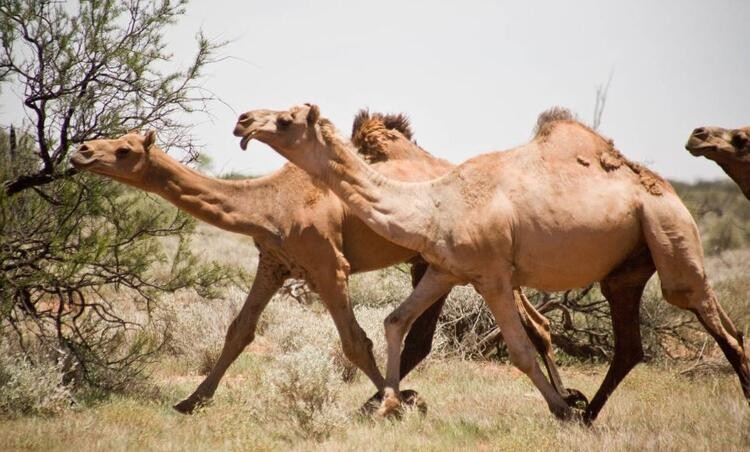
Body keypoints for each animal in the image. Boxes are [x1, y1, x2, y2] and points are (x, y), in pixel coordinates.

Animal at [69, 112, 576, 414]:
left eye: (125, 149)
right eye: (114, 139)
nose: (82, 151)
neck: (270, 202)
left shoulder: (328, 265)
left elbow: (355, 342)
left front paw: (396, 404)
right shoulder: (275, 262)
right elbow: (239, 331)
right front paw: (191, 401)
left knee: (524, 323)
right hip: (440, 261)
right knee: (526, 324)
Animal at [236, 104, 750, 422]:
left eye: (285, 120)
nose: (243, 120)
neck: (434, 202)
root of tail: (671, 193)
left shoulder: (494, 276)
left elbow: (521, 351)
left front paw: (560, 410)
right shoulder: (446, 268)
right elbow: (395, 321)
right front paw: (389, 404)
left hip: (670, 236)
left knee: (719, 326)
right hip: (627, 268)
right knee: (630, 346)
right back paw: (590, 414)